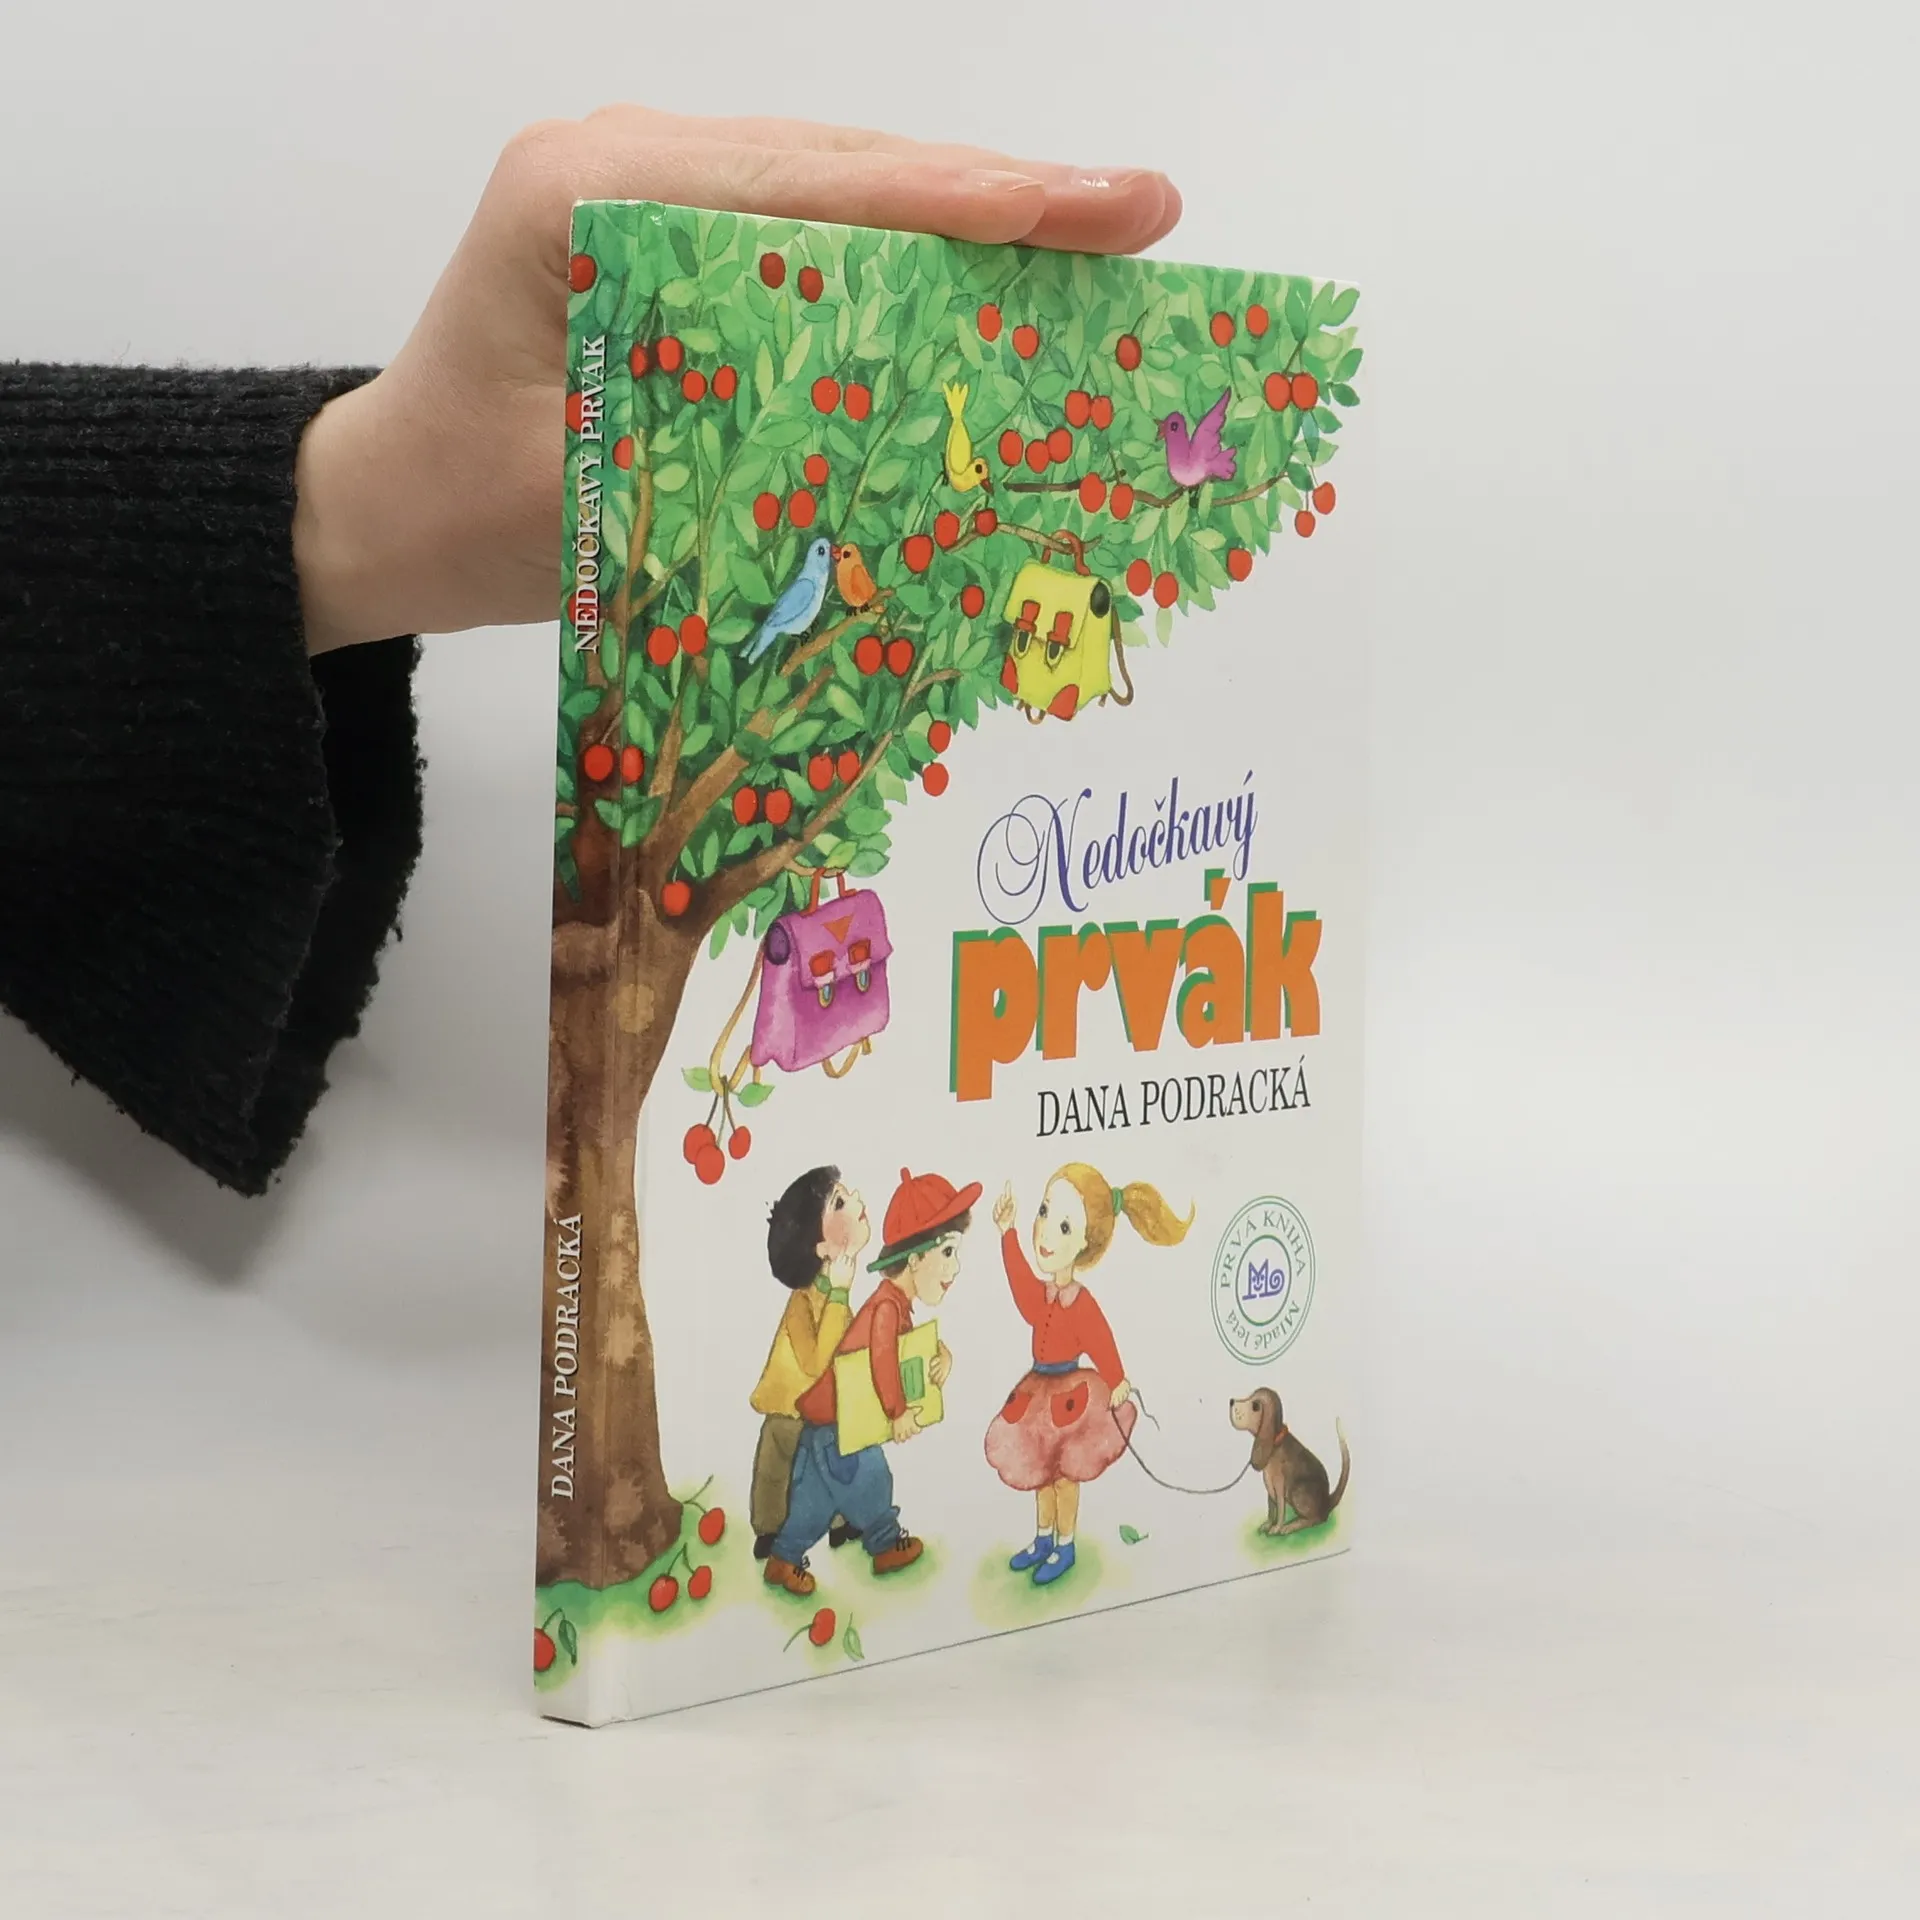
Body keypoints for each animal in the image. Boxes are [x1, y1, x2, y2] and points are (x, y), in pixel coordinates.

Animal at [1228, 1388, 1350, 1535]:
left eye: (1255, 1406)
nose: (1231, 1401)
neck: (1275, 1441)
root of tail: (1327, 1502)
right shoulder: (1269, 1484)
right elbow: (1271, 1509)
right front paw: (1268, 1524)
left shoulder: (1279, 1484)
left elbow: (1280, 1508)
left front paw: (1276, 1528)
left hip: (1297, 1491)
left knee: (1316, 1519)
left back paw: (1291, 1526)